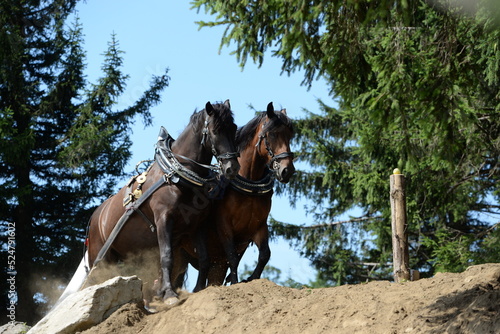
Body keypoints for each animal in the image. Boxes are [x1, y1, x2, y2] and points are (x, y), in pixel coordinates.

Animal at [86, 100, 240, 304]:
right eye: (215, 131)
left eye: (233, 128)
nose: (232, 168)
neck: (176, 176)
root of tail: (95, 218)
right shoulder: (163, 220)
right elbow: (167, 257)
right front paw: (169, 294)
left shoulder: (197, 225)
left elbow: (204, 257)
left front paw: (197, 289)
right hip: (101, 258)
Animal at [174, 103, 294, 288]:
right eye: (272, 134)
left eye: (290, 135)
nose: (287, 170)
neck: (250, 187)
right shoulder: (224, 226)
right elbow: (232, 257)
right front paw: (237, 282)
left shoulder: (258, 226)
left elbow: (264, 254)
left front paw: (250, 278)